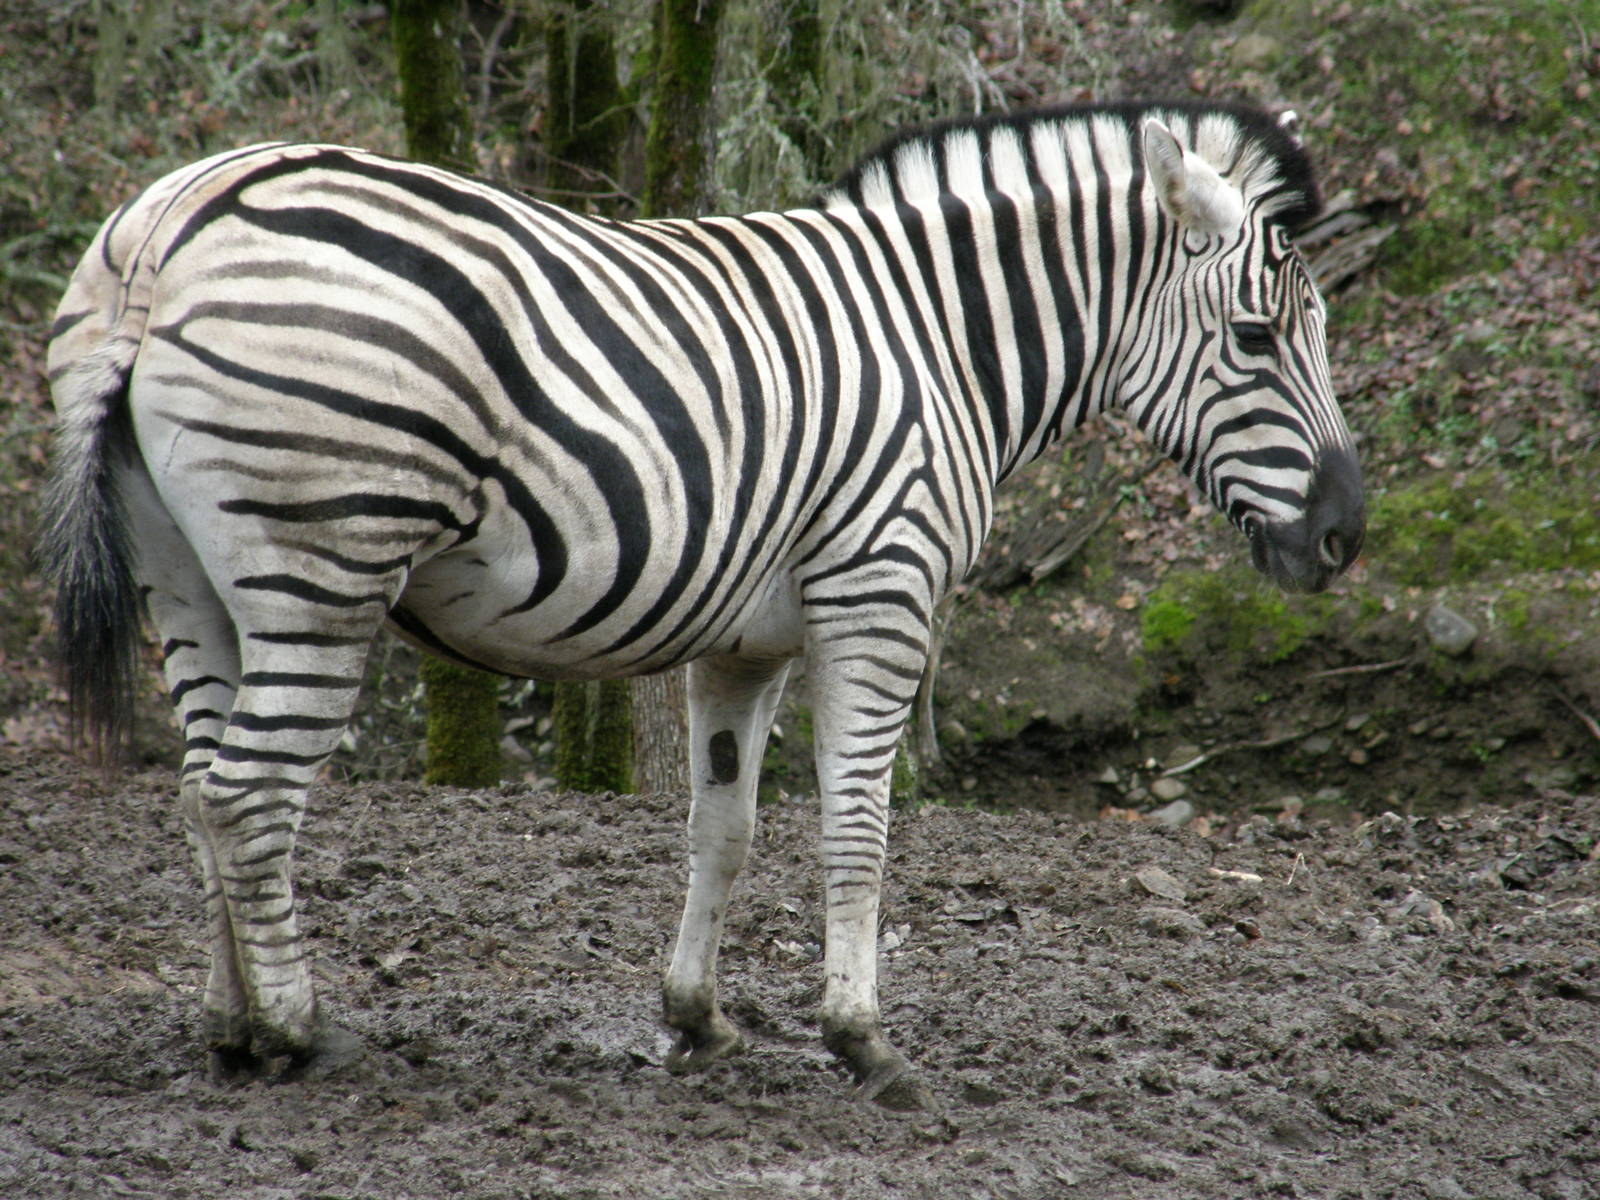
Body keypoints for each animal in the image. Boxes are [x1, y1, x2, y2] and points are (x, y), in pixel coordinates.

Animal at [40, 99, 1363, 1104]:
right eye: (1257, 337)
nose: (1346, 538)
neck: (941, 343)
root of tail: (168, 225)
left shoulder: (744, 641)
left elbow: (722, 826)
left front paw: (697, 1018)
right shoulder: (877, 596)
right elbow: (858, 828)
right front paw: (863, 1041)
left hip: (190, 581)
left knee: (200, 788)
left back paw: (231, 1031)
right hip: (325, 566)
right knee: (249, 793)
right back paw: (303, 1031)